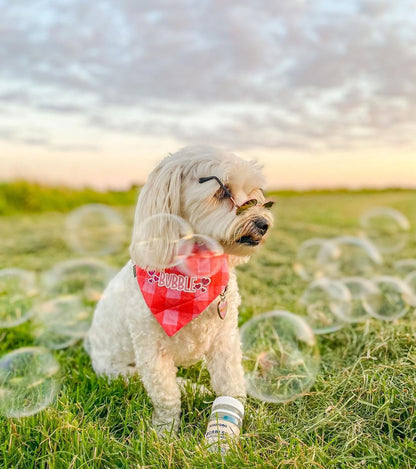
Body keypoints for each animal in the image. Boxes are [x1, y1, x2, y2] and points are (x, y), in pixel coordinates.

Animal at [88, 147, 272, 436]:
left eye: (255, 196)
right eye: (223, 192)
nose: (263, 223)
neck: (194, 275)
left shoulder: (225, 339)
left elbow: (231, 383)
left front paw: (243, 416)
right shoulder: (151, 350)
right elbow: (166, 396)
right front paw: (165, 432)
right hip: (121, 372)